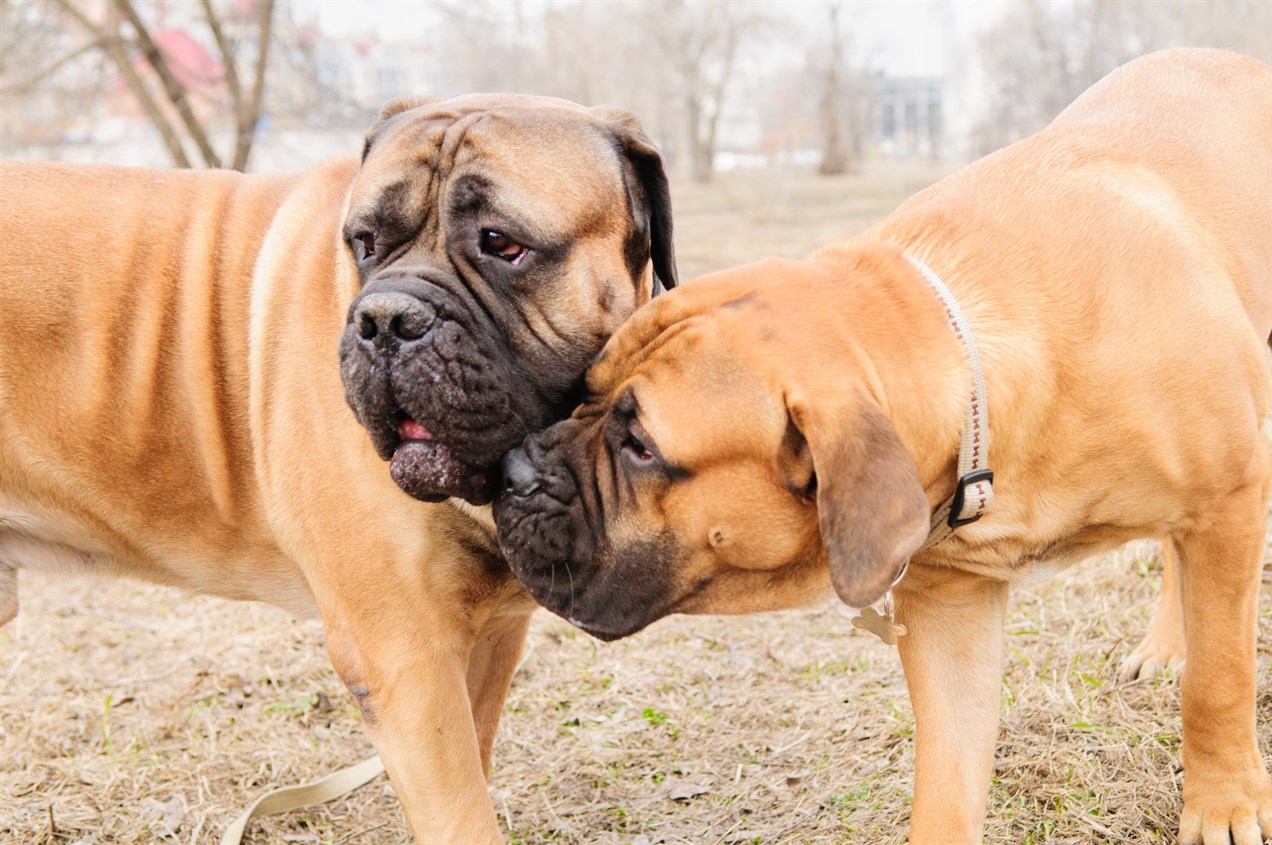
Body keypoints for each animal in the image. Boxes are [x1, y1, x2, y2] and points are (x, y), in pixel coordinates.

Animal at [0, 94, 676, 845]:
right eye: (365, 242)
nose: (386, 319)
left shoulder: (489, 639)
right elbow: (460, 812)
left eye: (503, 244)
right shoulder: (405, 657)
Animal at [496, 49, 1272, 839]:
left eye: (641, 446)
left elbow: (1219, 678)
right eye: (585, 391)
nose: (514, 468)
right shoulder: (950, 605)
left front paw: (1223, 803)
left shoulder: (1230, 504)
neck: (978, 365)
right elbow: (948, 770)